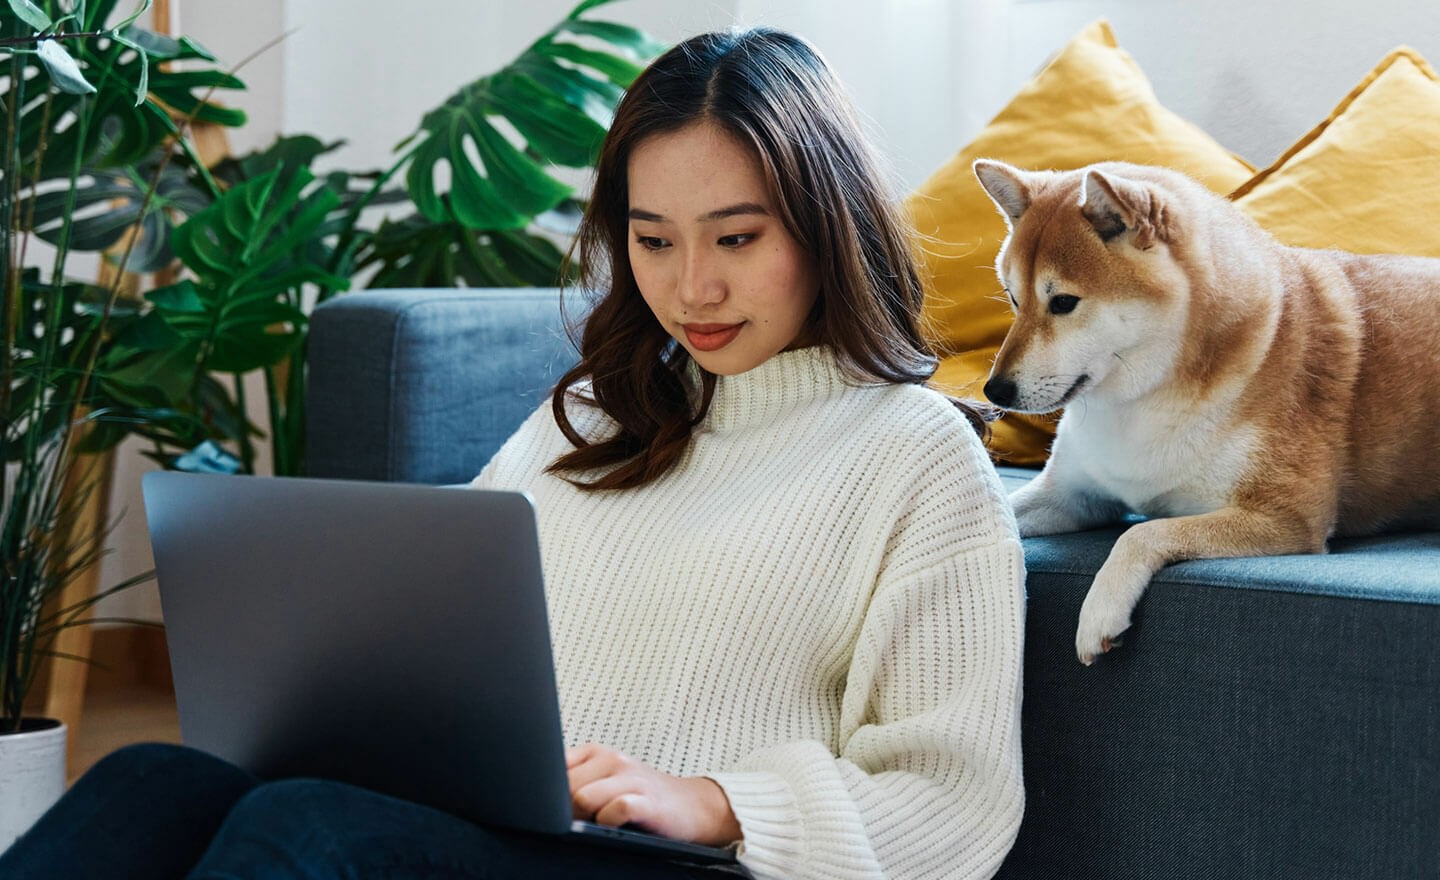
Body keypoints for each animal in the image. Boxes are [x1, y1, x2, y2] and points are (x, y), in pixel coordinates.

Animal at [973, 162, 1440, 665]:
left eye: (1062, 302)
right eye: (1013, 298)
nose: (994, 390)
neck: (1141, 402)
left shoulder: (1288, 517)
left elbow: (1142, 533)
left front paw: (1101, 608)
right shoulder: (1073, 496)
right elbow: (996, 512)